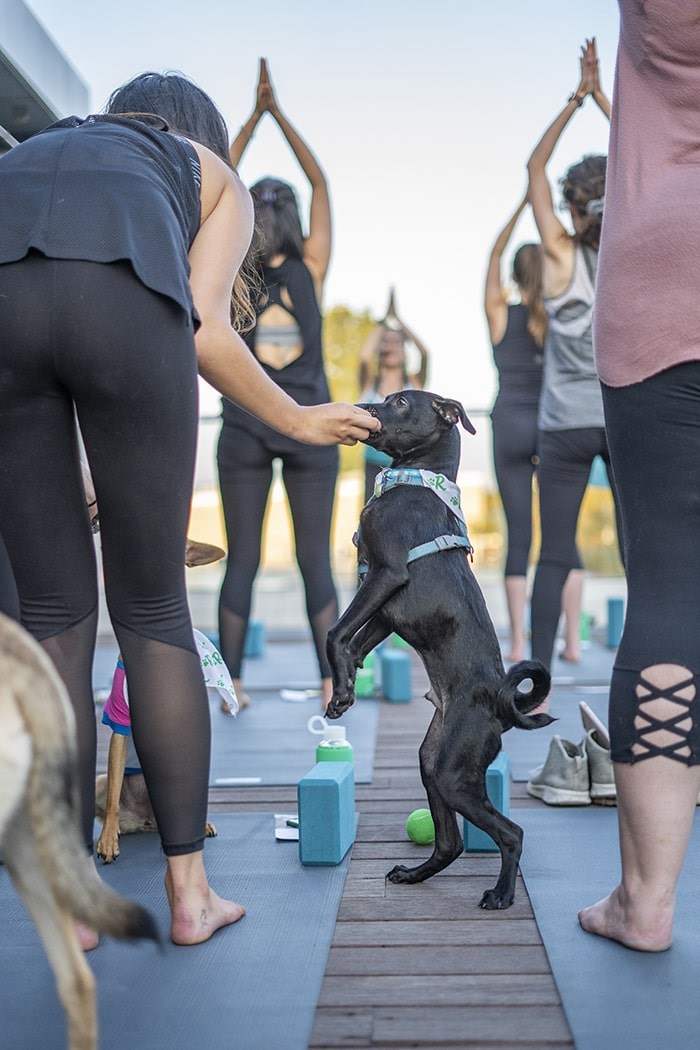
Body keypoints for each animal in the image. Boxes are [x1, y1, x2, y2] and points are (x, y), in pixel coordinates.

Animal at [327, 390, 554, 907]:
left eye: (400, 401)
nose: (361, 407)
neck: (415, 479)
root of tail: (501, 705)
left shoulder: (386, 574)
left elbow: (336, 632)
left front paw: (342, 687)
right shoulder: (388, 607)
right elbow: (354, 642)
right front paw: (344, 690)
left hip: (454, 773)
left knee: (512, 833)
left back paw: (501, 894)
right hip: (435, 761)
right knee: (450, 842)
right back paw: (414, 874)